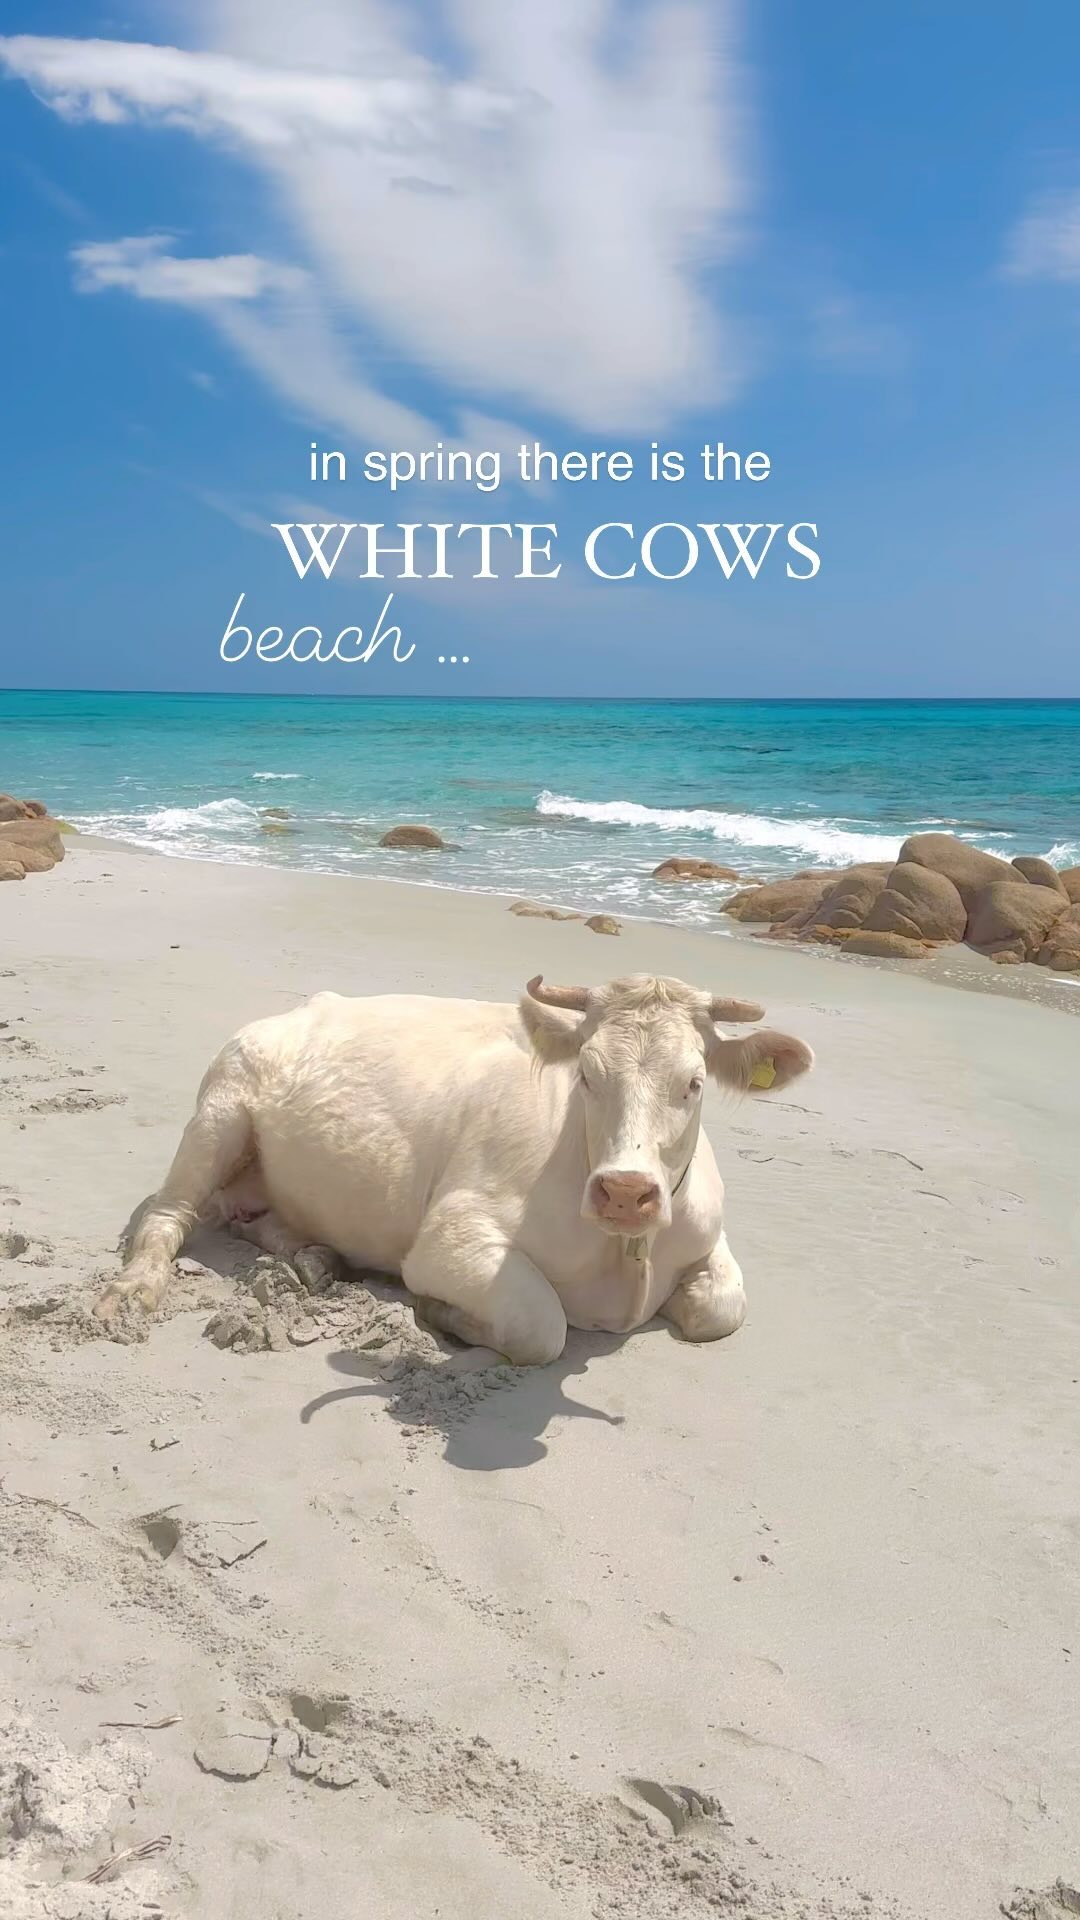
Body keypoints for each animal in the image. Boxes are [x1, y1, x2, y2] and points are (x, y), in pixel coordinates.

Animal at [95, 973, 813, 1364]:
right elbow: (540, 1324)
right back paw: (130, 1293)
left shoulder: (707, 1230)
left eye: (694, 1083)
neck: (624, 1256)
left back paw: (315, 1259)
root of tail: (302, 1008)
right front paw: (441, 1312)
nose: (625, 1192)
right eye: (586, 1075)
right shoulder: (450, 1239)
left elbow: (721, 1306)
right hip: (220, 1106)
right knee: (167, 1213)